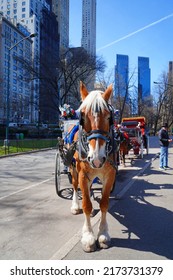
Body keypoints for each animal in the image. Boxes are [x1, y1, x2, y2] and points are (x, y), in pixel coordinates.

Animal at [69, 81, 116, 252]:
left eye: (109, 117)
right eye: (82, 116)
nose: (96, 158)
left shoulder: (109, 175)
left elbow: (104, 203)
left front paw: (103, 234)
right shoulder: (83, 174)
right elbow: (87, 205)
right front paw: (88, 236)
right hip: (73, 168)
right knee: (75, 185)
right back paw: (75, 205)